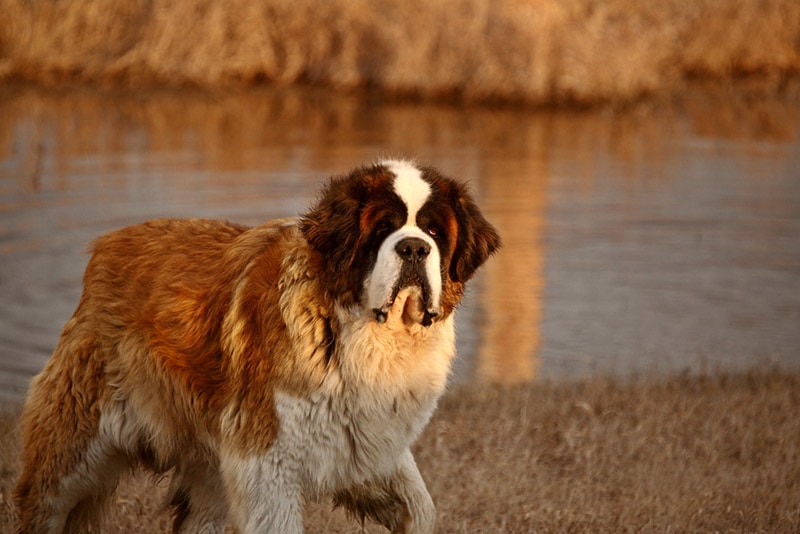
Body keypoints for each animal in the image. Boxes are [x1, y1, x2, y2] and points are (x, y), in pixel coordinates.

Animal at [14, 157, 500, 532]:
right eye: (383, 228)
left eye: (435, 233)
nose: (415, 248)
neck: (360, 331)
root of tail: (106, 246)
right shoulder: (268, 464)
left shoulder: (366, 447)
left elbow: (421, 508)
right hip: (72, 451)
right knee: (43, 501)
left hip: (211, 468)